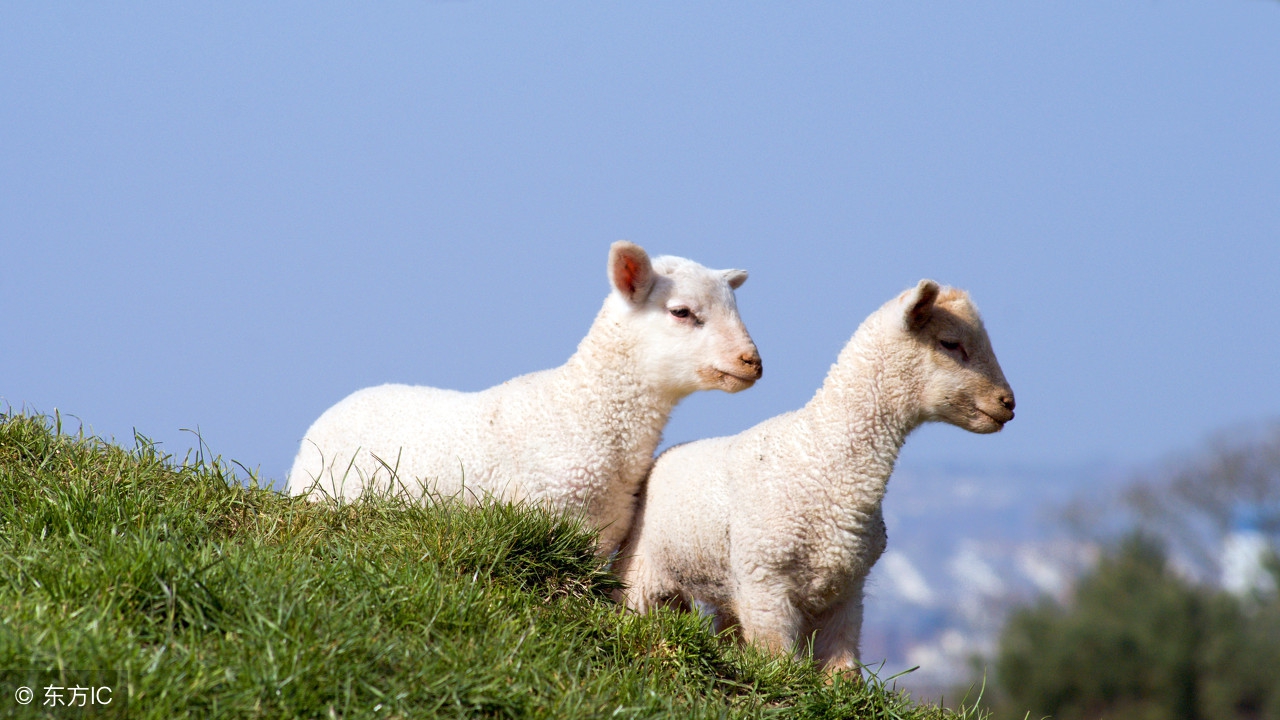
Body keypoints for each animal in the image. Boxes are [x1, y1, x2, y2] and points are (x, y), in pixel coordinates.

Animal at [614, 278, 1013, 671]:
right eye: (950, 343)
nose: (1008, 403)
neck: (821, 456)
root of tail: (666, 454)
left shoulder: (846, 590)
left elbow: (842, 672)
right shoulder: (766, 583)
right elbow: (775, 660)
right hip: (642, 570)